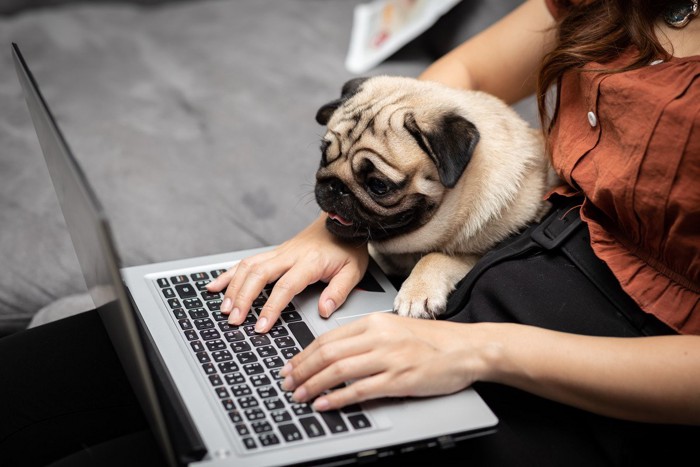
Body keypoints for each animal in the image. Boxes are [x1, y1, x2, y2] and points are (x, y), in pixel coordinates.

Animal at [314, 77, 556, 320]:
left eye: (378, 185)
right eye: (324, 156)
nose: (337, 186)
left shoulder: (479, 254)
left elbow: (435, 257)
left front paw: (416, 293)